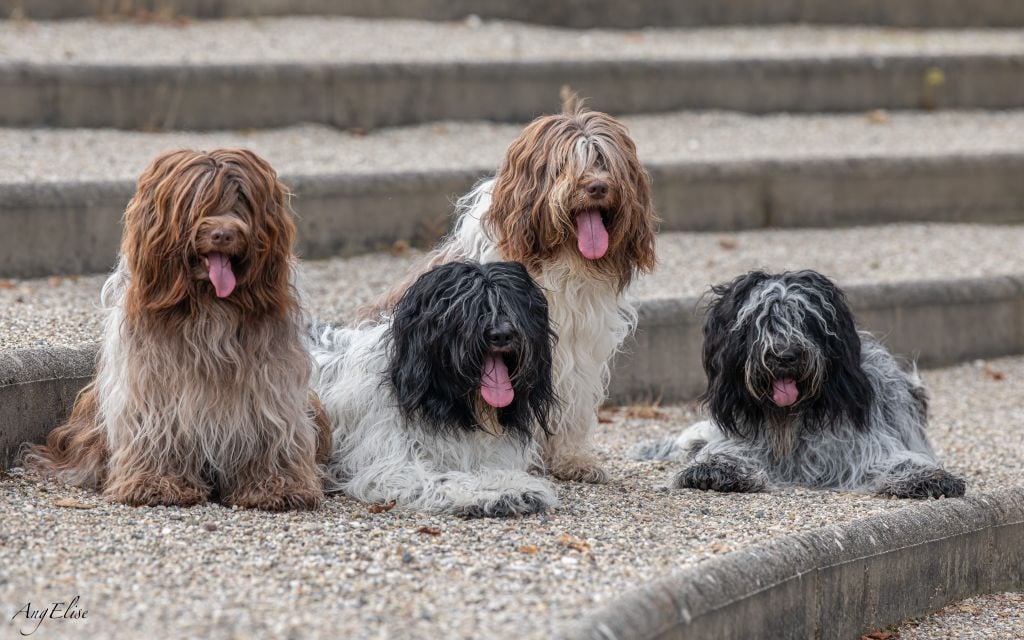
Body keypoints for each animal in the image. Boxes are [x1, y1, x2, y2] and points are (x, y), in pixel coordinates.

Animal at [24, 148, 327, 509]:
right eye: (198, 200)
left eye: (242, 197)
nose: (223, 233)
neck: (210, 304)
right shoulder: (152, 383)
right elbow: (158, 428)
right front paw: (157, 483)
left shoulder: (270, 381)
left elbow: (271, 428)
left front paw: (275, 486)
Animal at [309, 260, 557, 514]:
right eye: (466, 308)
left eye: (511, 304)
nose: (502, 334)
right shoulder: (392, 464)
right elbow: (441, 478)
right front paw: (502, 492)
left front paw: (509, 483)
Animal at [364, 97, 659, 481]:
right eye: (565, 165)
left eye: (603, 161)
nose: (597, 187)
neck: (561, 263)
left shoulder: (578, 354)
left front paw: (572, 458)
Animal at [634, 270, 962, 499]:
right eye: (759, 321)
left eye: (806, 320)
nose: (785, 356)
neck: (790, 421)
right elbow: (723, 452)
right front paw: (714, 468)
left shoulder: (865, 447)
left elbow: (893, 459)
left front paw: (926, 477)